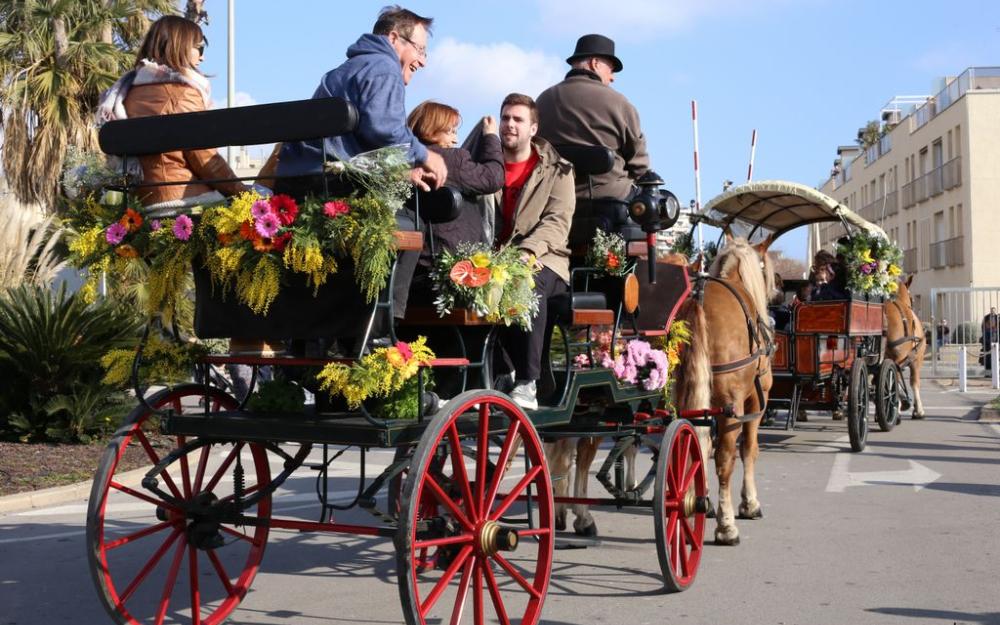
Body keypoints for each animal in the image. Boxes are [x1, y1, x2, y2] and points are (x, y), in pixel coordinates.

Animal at [676, 236, 776, 544]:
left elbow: (703, 446)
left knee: (690, 445)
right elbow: (749, 450)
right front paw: (748, 504)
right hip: (733, 407)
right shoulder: (756, 401)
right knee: (724, 459)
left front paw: (704, 500)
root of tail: (698, 302)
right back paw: (726, 527)